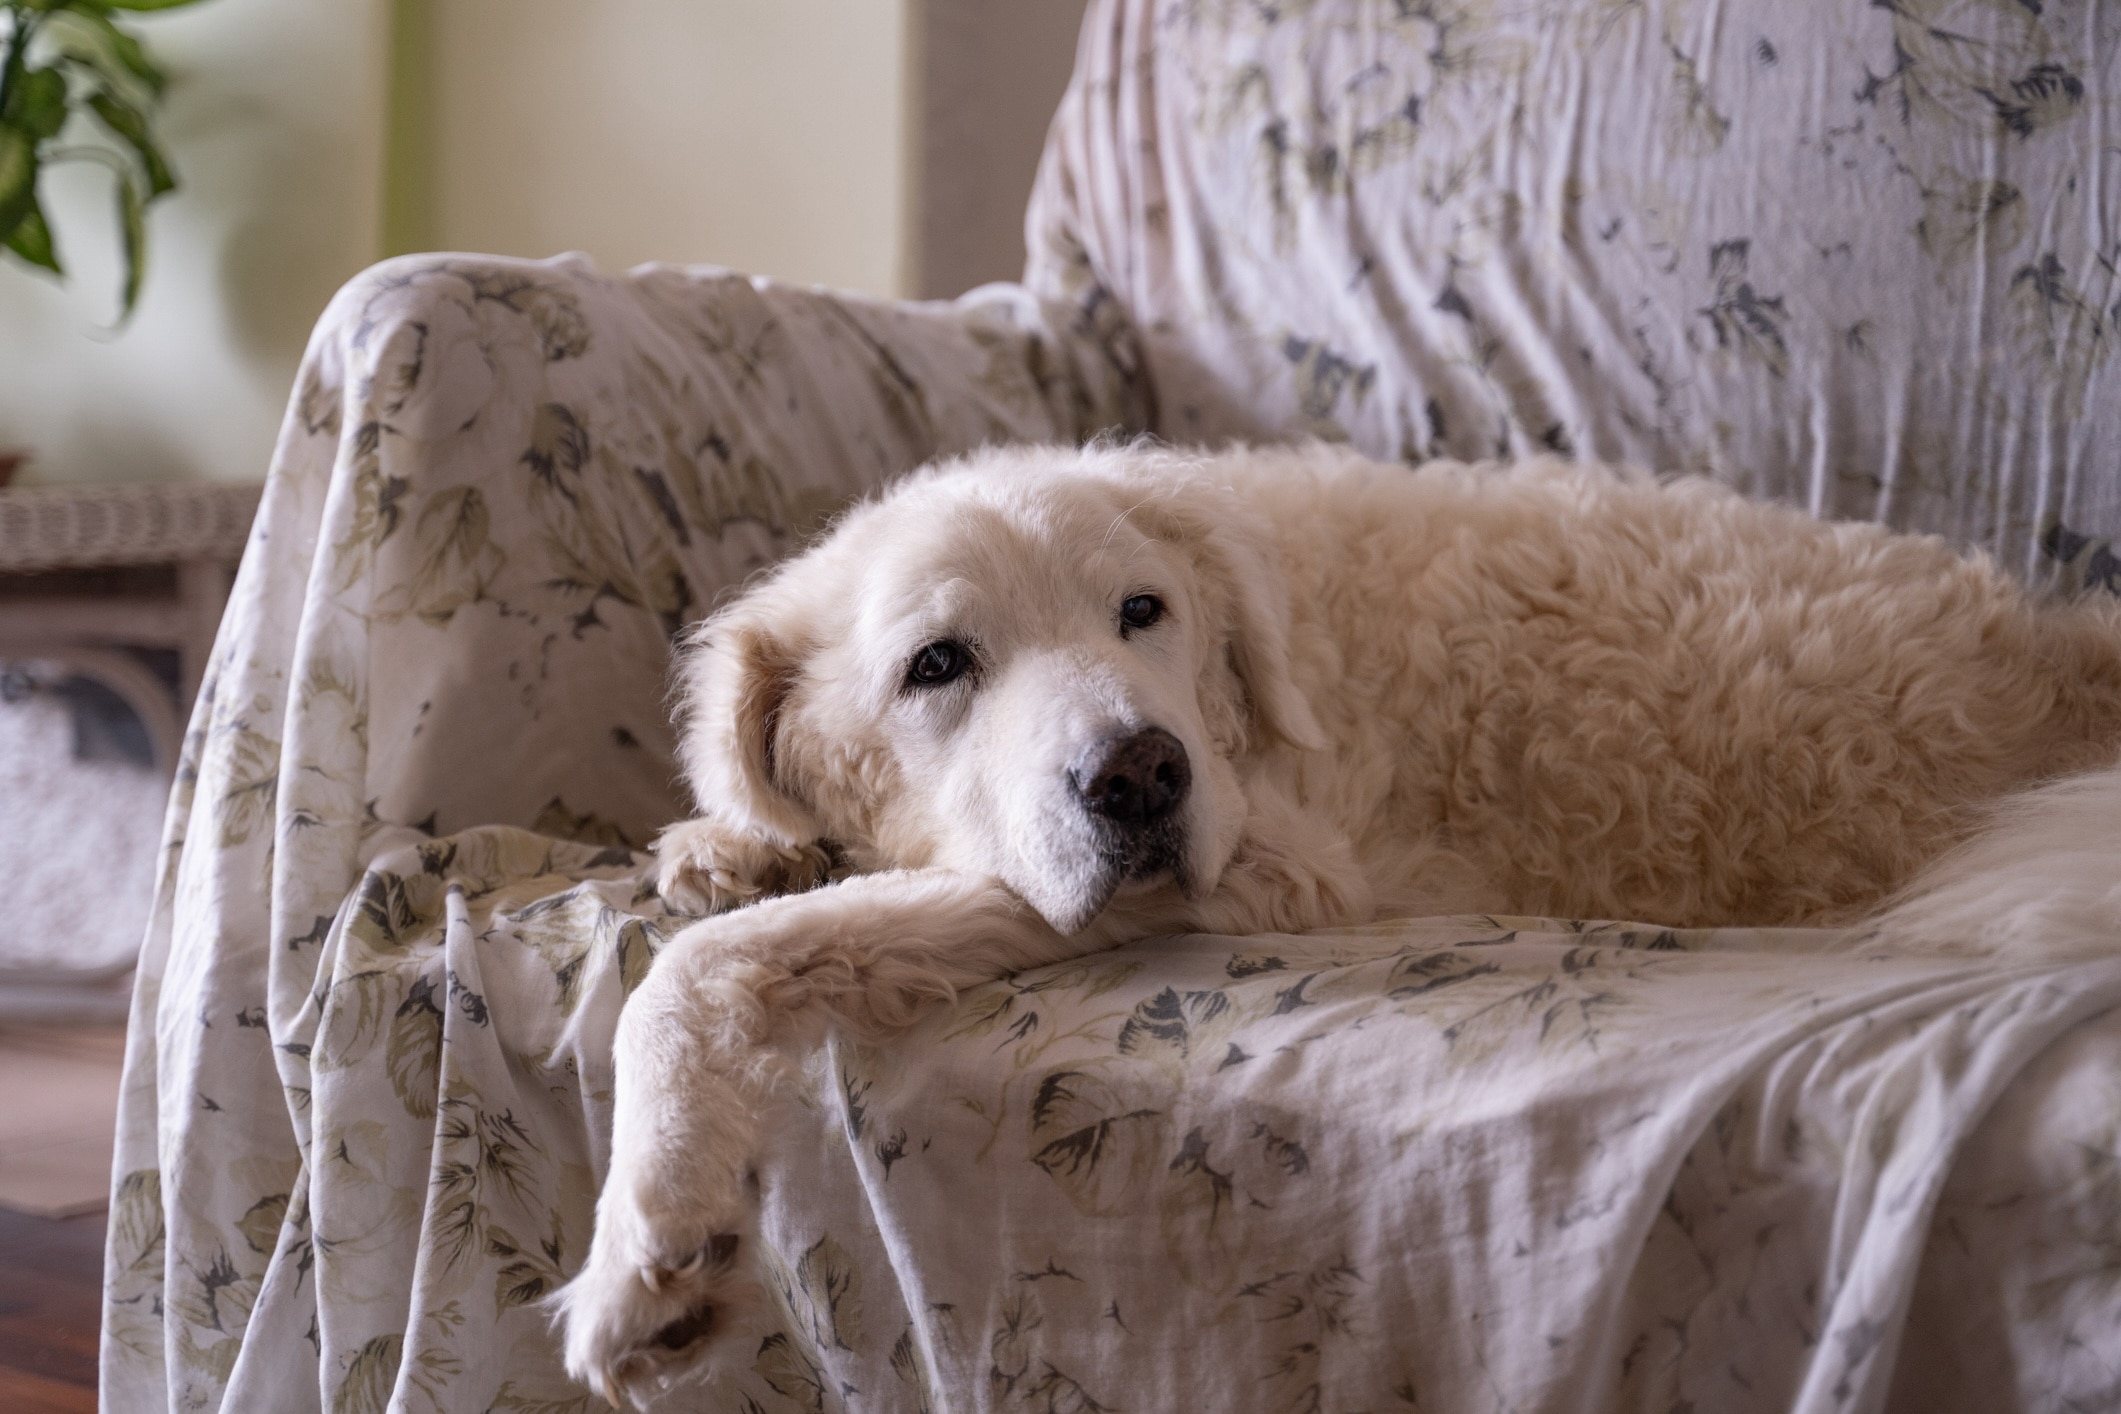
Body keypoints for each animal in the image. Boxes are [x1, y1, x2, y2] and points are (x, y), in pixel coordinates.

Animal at [551, 438, 2121, 1407]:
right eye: (937, 666)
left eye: (1141, 611)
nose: (1142, 778)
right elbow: (743, 869)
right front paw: (728, 841)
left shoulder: (1273, 866)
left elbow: (696, 973)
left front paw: (650, 1238)